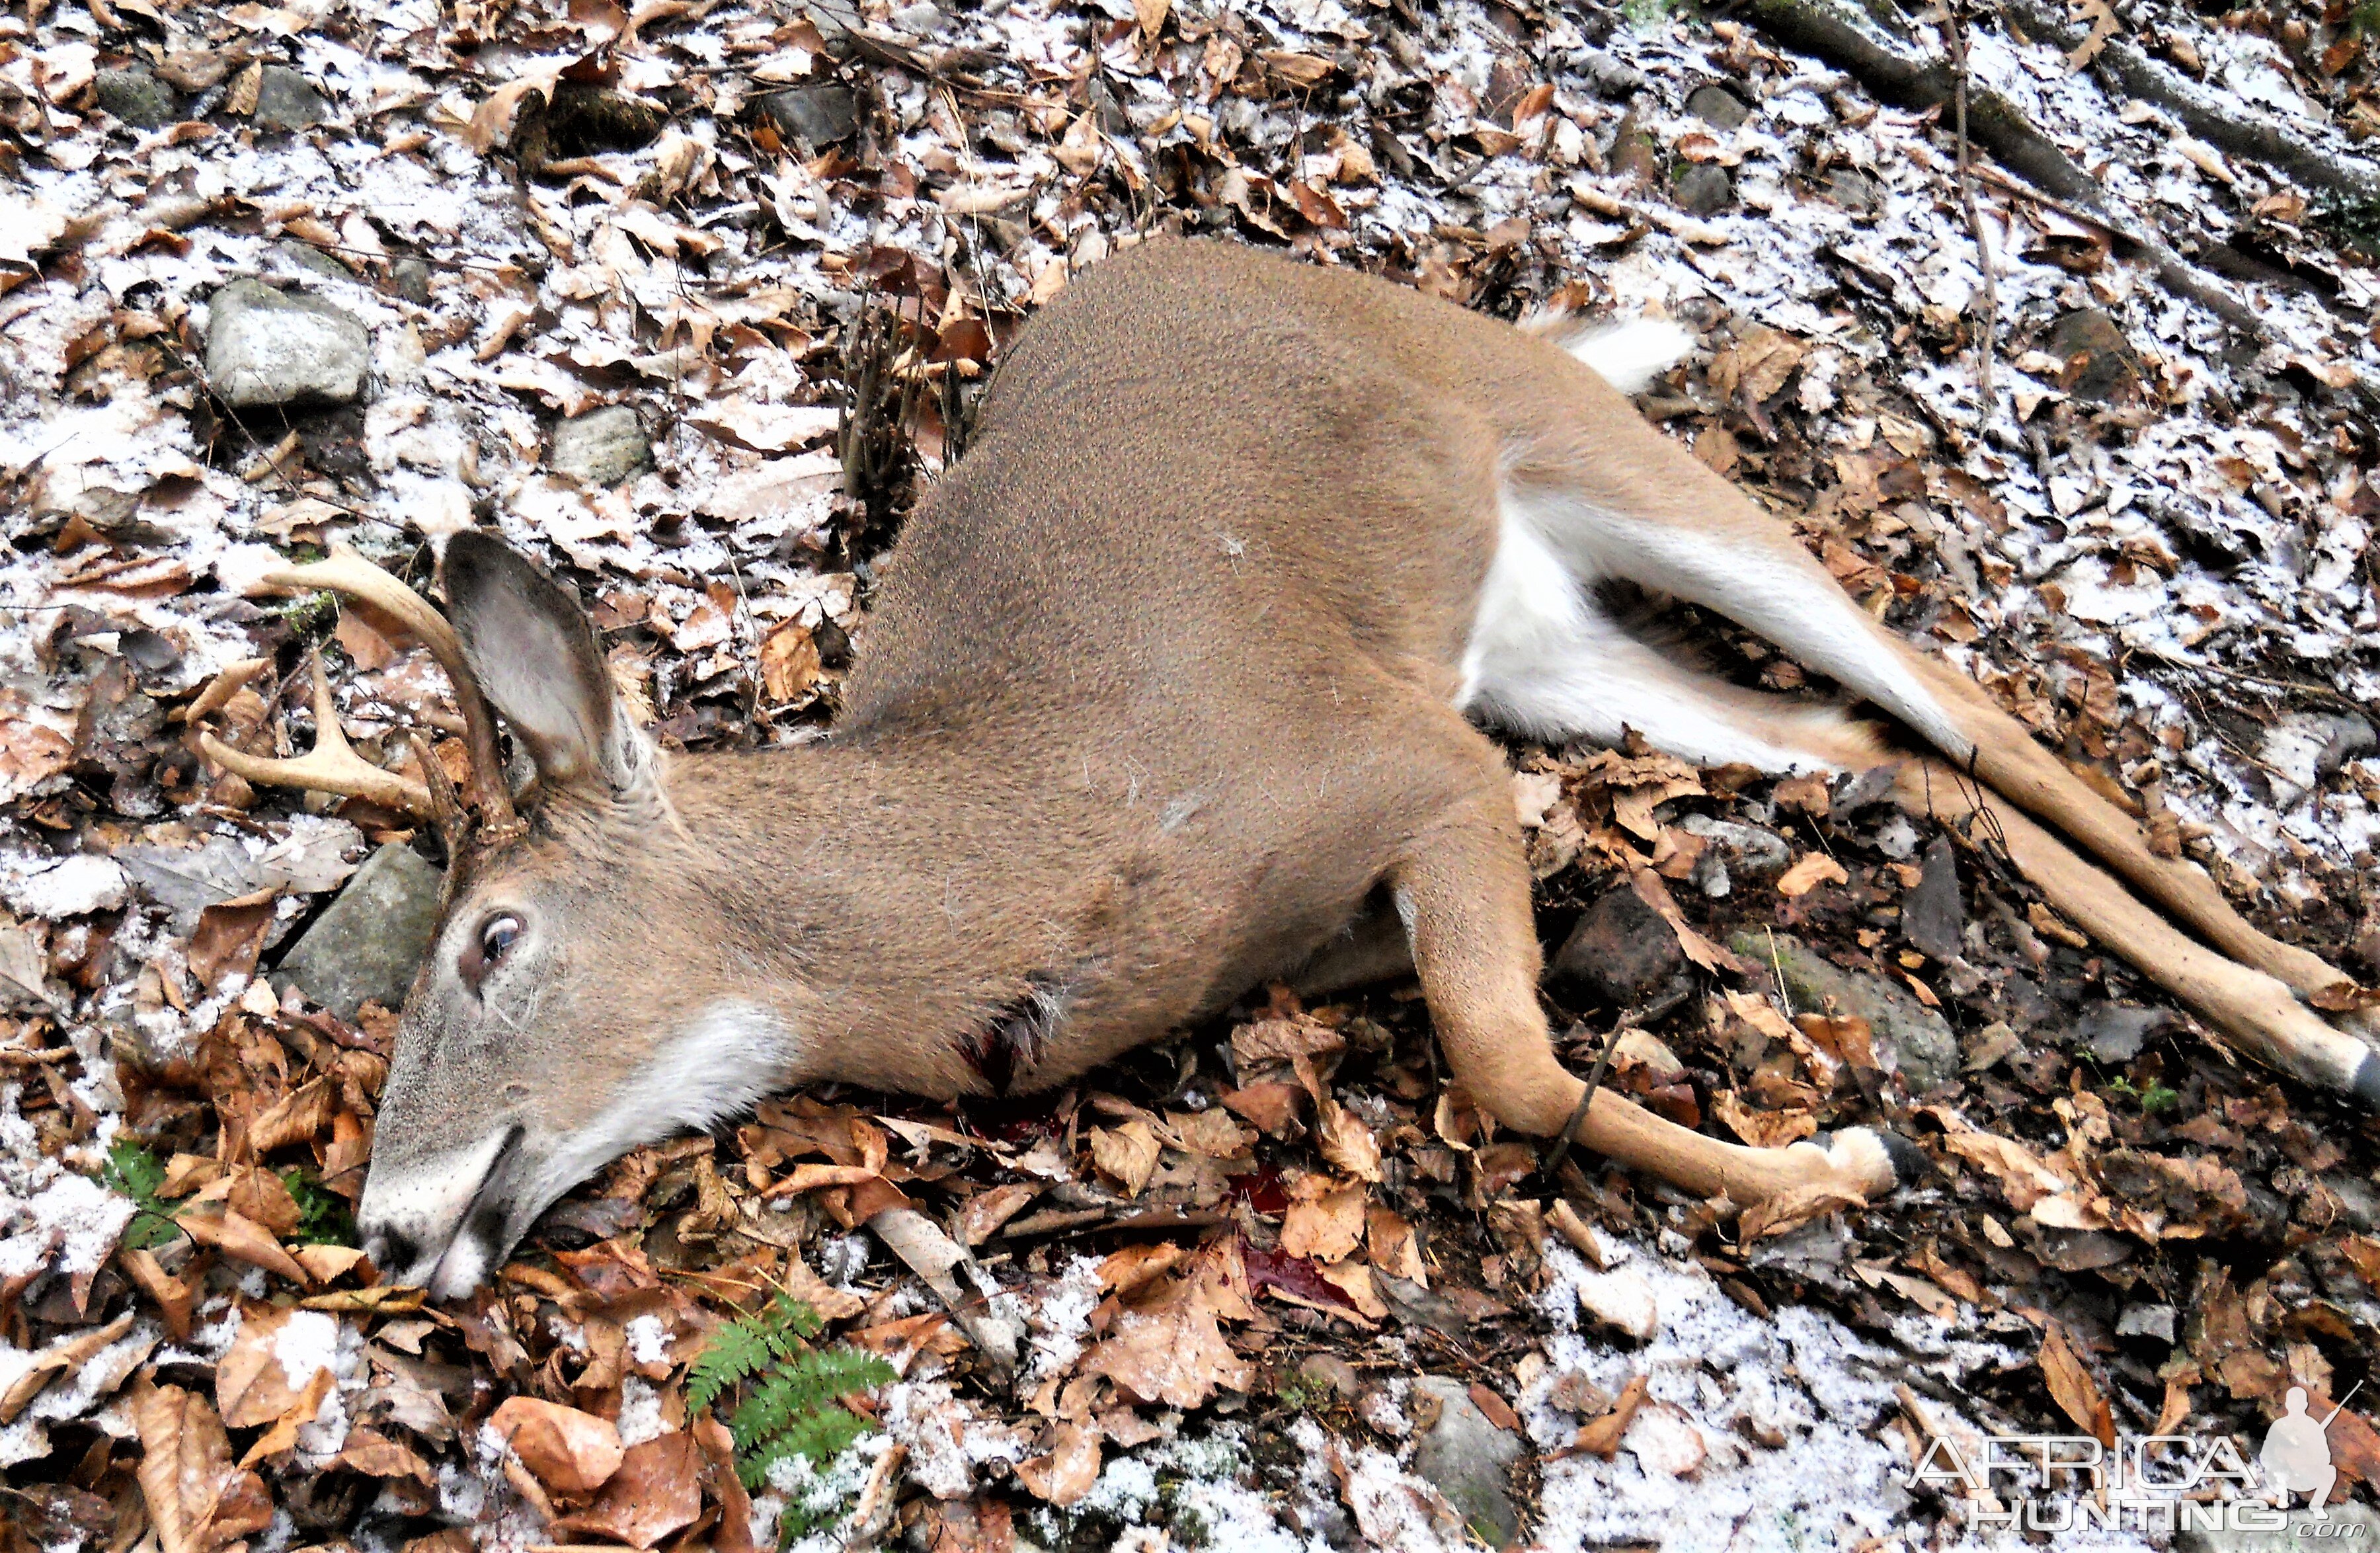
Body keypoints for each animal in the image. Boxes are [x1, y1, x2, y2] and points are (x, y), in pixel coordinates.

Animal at [204, 233, 2380, 1295]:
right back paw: (2310, 1020)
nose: (382, 1227)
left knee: (1965, 703)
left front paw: (1842, 1160)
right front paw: (1836, 1154)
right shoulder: (1419, 791)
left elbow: (1506, 1066)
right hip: (1561, 661)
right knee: (1877, 748)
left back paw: (2319, 999)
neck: (1039, 851)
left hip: (1589, 451)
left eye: (490, 939)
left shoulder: (1398, 754)